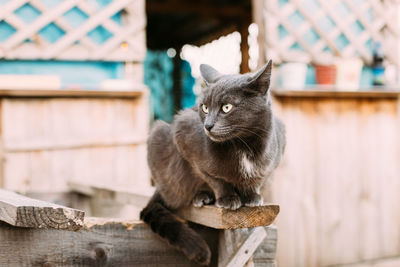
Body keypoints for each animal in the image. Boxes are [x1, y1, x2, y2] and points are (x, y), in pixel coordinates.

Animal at [140, 60, 284, 266]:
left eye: (226, 107)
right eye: (205, 108)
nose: (207, 125)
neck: (242, 144)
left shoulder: (275, 151)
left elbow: (258, 177)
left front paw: (252, 196)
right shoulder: (184, 135)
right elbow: (213, 178)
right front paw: (228, 198)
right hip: (158, 135)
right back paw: (202, 196)